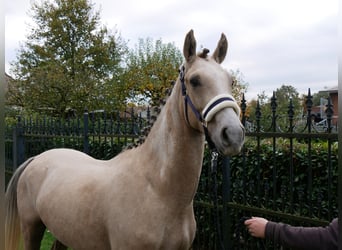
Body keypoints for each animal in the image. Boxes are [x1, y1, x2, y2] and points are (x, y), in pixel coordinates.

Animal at [6, 30, 246, 250]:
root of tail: (36, 159)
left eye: (230, 80)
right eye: (194, 81)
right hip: (32, 228)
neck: (158, 189)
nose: (233, 134)